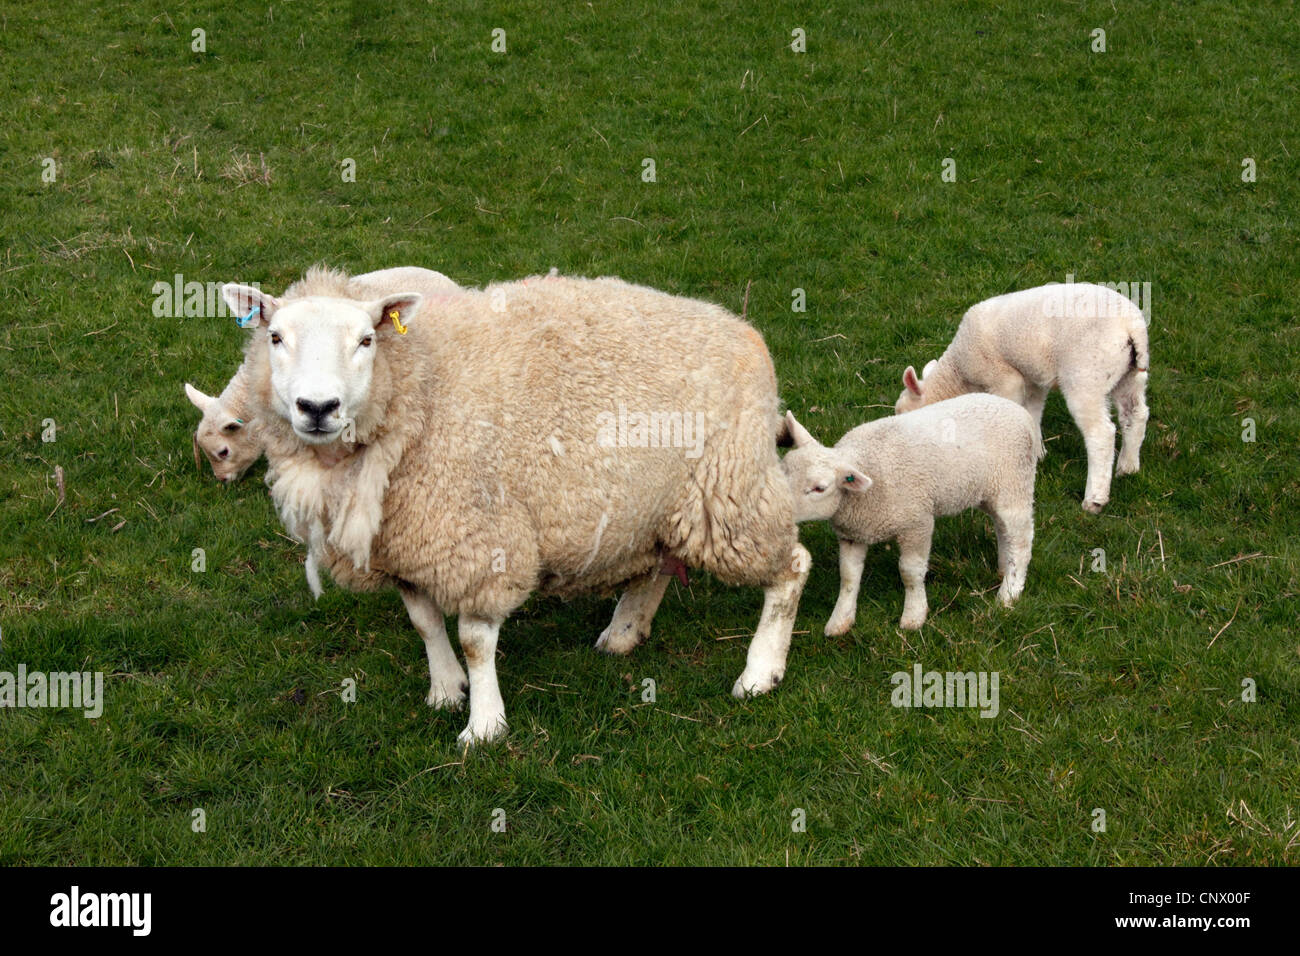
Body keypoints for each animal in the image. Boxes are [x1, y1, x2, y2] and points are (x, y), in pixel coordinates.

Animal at [219, 267, 810, 745]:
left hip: (731, 488)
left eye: (366, 340)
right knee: (661, 561)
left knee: (791, 566)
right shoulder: (408, 545)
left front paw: (484, 725)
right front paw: (445, 689)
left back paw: (760, 672)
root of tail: (744, 330)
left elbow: (476, 640)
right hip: (660, 501)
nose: (317, 407)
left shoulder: (481, 540)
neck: (422, 389)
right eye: (275, 336)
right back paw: (624, 633)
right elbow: (424, 622)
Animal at [781, 394, 1041, 632]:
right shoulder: (852, 533)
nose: (780, 511)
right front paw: (839, 621)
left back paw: (1009, 592)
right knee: (1003, 529)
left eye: (819, 488)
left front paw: (914, 615)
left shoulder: (916, 523)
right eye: (783, 471)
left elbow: (910, 571)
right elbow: (848, 576)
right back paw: (1003, 568)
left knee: (1021, 540)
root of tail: (1022, 414)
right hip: (991, 492)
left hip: (1014, 484)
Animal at [895, 281, 1149, 513]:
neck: (959, 372)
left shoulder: (1004, 378)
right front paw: (1036, 452)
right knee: (1136, 414)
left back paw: (1094, 499)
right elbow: (1032, 413)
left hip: (1085, 375)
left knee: (1101, 433)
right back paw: (1128, 467)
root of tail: (1131, 327)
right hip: (1129, 375)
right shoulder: (1033, 378)